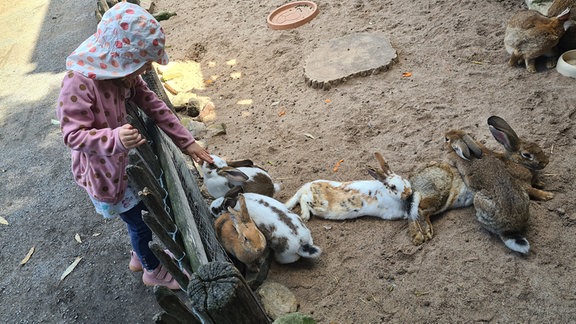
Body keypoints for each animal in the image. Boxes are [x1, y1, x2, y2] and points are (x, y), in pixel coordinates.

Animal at [284, 152, 418, 223]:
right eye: (393, 187)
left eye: (403, 179)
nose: (409, 192)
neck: (386, 193)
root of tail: (308, 186)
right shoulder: (389, 214)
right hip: (320, 204)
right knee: (303, 199)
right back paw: (305, 216)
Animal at [408, 116, 552, 246]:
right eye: (527, 155)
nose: (546, 162)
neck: (514, 162)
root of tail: (412, 183)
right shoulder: (522, 184)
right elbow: (534, 191)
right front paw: (548, 195)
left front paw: (542, 184)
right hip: (438, 194)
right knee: (420, 210)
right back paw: (423, 234)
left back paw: (417, 236)